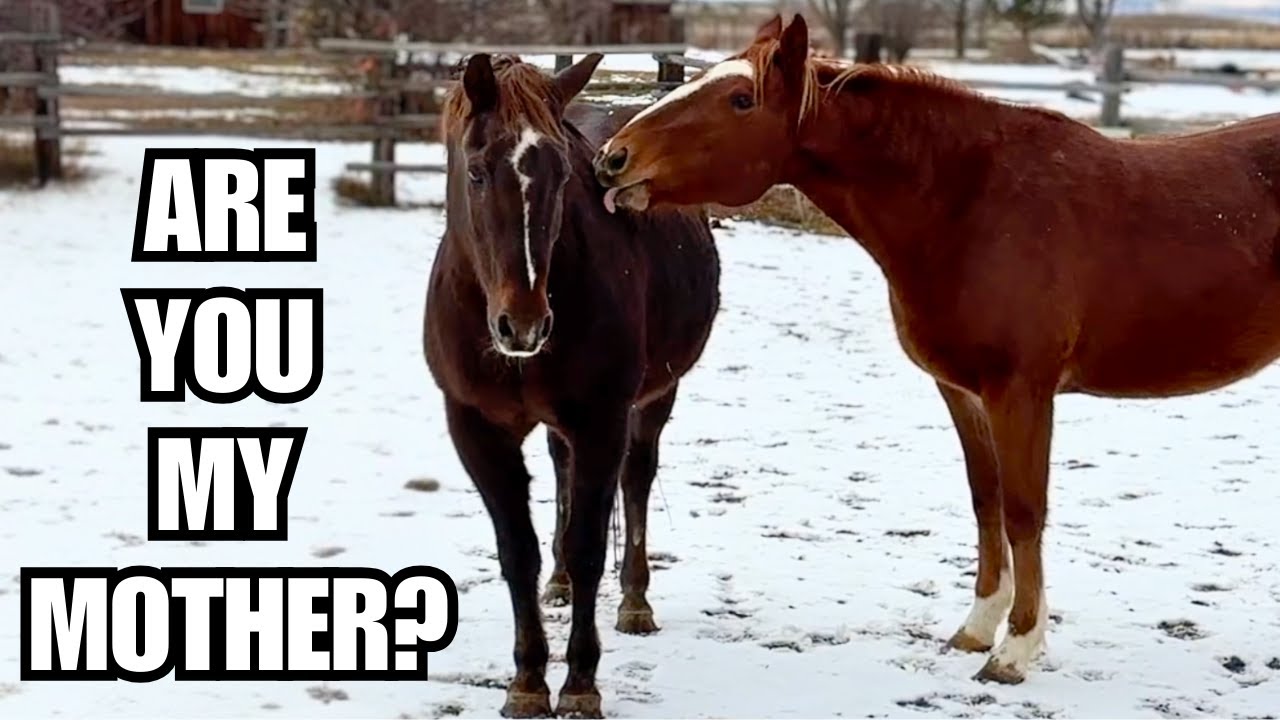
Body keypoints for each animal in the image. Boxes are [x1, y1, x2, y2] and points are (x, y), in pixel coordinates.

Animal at [423, 53, 721, 717]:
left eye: (563, 177)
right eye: (476, 172)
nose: (524, 324)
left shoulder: (602, 420)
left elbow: (590, 545)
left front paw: (580, 682)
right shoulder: (473, 428)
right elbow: (518, 552)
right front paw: (528, 680)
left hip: (653, 400)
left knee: (636, 482)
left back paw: (635, 600)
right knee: (561, 471)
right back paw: (557, 585)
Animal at [592, 13, 1280, 685]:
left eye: (741, 100)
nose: (613, 159)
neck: (971, 204)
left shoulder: (1021, 392)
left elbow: (1024, 510)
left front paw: (1016, 649)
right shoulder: (962, 391)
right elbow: (986, 501)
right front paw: (978, 628)